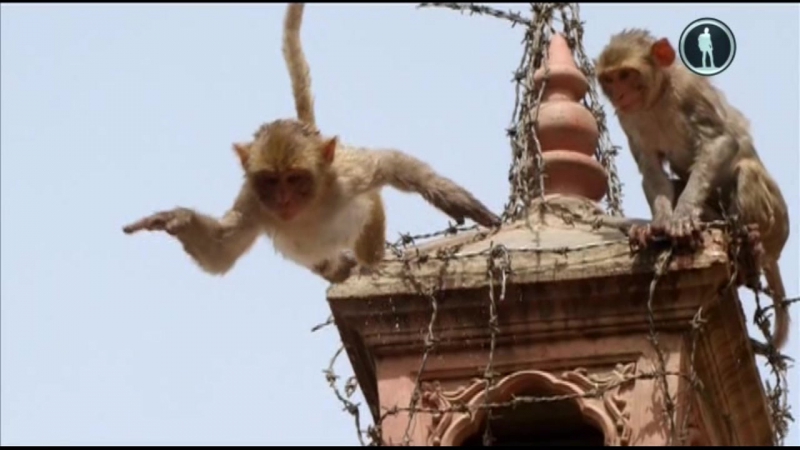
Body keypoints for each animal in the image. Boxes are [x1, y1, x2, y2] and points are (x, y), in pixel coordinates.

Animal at [122, 3, 501, 284]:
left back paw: (366, 263)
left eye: (295, 179)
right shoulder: (254, 203)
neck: (310, 208)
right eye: (271, 181)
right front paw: (174, 219)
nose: (284, 200)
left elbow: (388, 164)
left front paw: (452, 197)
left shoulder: (347, 177)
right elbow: (221, 252)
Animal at [594, 29, 791, 354]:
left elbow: (720, 141)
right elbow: (652, 170)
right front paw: (657, 225)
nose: (619, 95)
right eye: (609, 79)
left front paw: (682, 217)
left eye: (626, 75)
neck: (657, 98)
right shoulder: (628, 117)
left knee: (746, 170)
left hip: (777, 222)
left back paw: (751, 247)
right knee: (677, 182)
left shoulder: (690, 91)